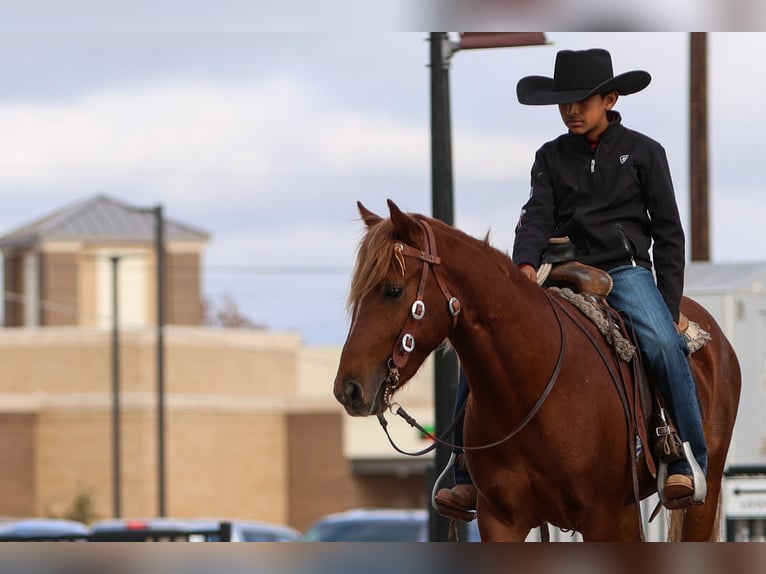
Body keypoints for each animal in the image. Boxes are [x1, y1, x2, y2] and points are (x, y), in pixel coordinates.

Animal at [336, 200, 744, 544]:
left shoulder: (604, 517)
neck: (531, 389)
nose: (348, 389)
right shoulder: (501, 521)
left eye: (392, 290)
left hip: (699, 499)